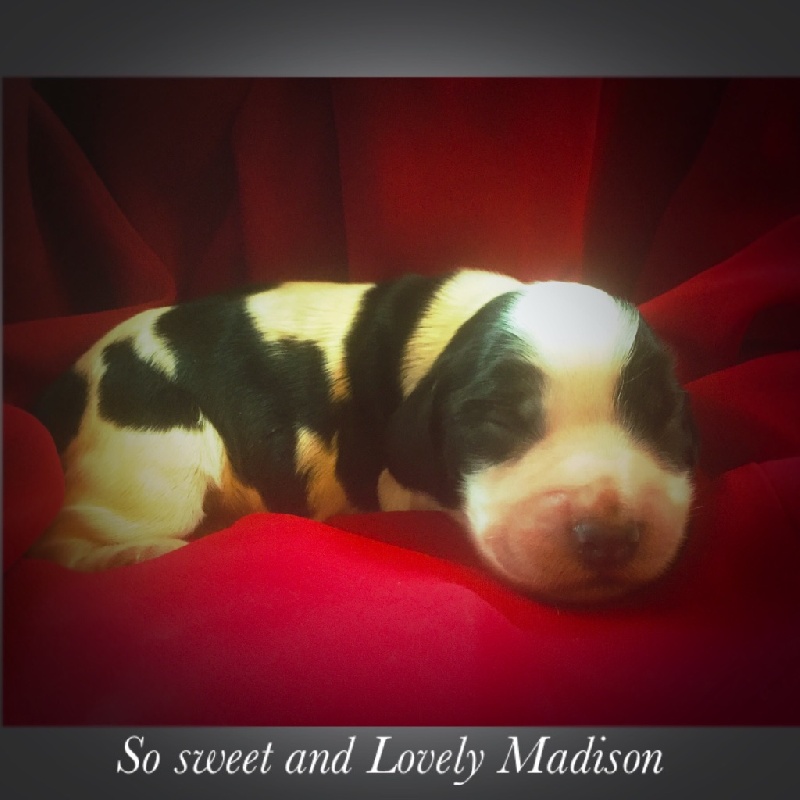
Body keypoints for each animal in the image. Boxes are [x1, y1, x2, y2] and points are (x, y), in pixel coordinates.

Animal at [29, 270, 697, 605]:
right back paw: (141, 553)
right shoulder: (396, 483)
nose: (608, 538)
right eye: (498, 421)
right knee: (66, 539)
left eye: (663, 415)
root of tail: (62, 390)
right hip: (155, 459)